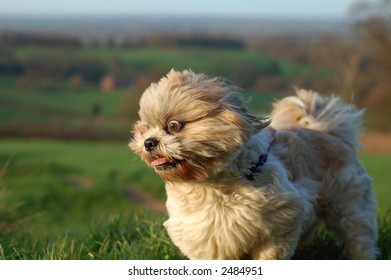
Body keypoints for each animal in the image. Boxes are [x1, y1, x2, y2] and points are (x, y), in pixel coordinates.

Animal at [130, 70, 378, 260]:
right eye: (145, 128)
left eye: (173, 125)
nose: (149, 142)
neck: (213, 183)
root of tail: (325, 131)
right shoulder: (206, 236)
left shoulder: (281, 221)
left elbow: (271, 253)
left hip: (350, 207)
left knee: (359, 238)